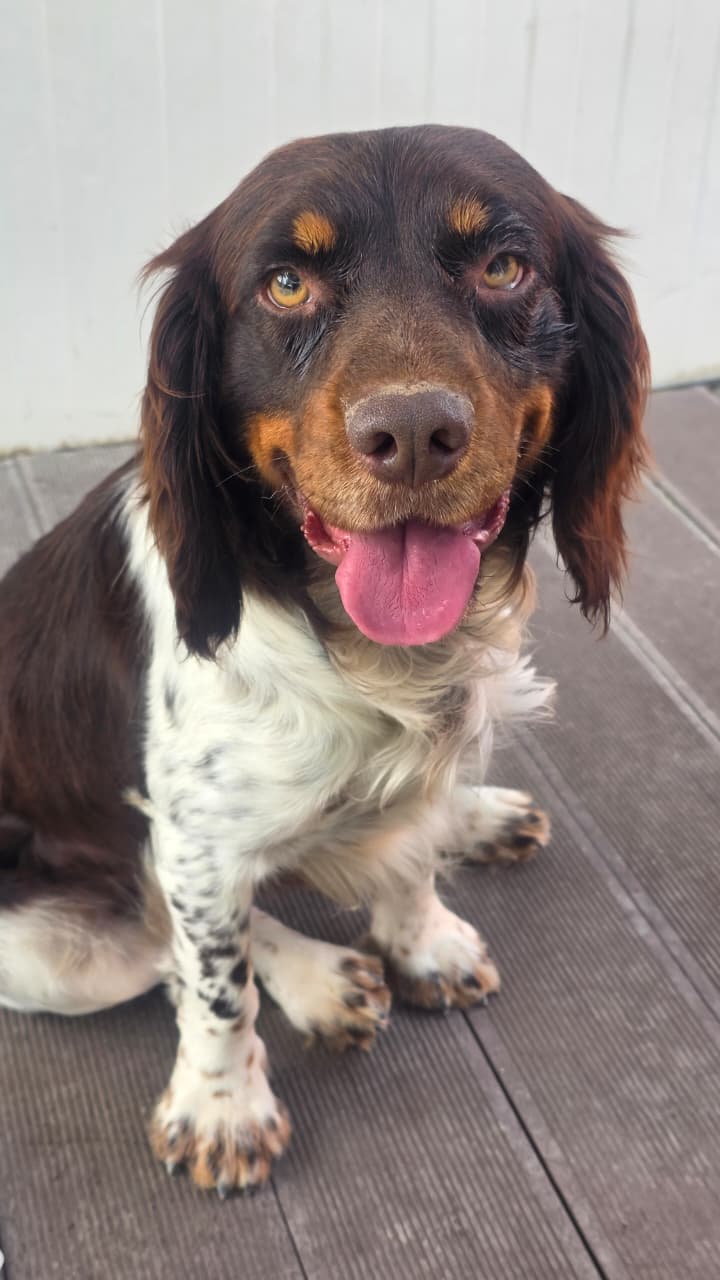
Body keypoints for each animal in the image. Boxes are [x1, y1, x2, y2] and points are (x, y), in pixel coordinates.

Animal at [0, 125, 648, 1195]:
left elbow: (414, 848)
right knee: (160, 939)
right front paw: (222, 1107)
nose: (415, 434)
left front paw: (424, 939)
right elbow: (215, 983)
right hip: (49, 954)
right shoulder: (196, 836)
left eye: (503, 268)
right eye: (286, 285)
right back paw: (316, 979)